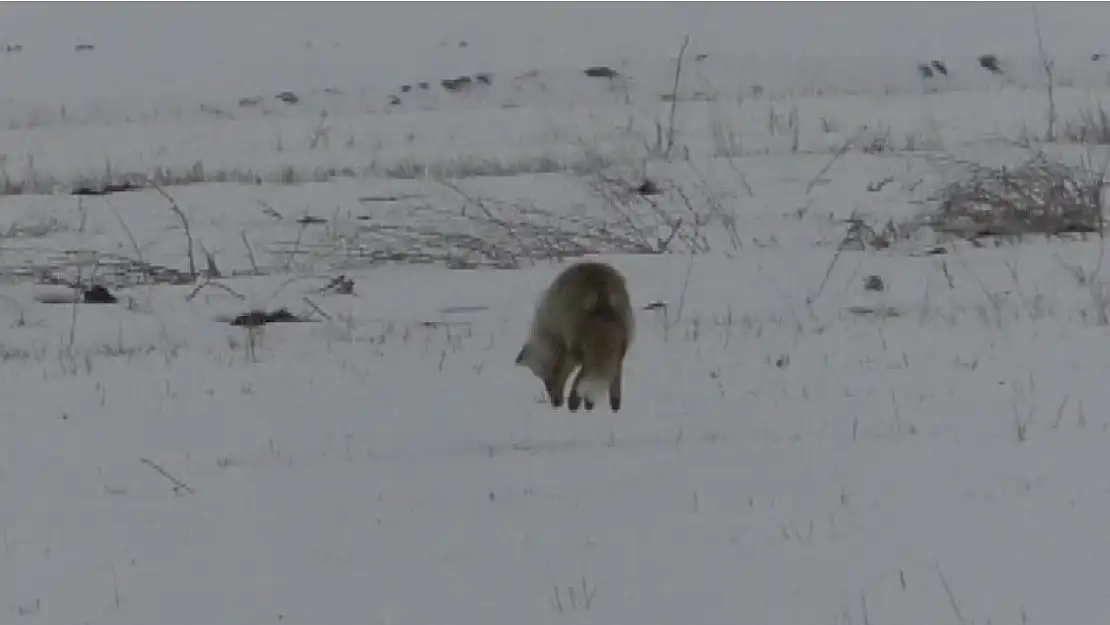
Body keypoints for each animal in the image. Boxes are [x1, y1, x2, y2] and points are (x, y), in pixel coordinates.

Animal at [512, 261, 634, 412]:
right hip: (619, 349)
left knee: (581, 377)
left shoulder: (566, 354)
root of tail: (599, 286)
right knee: (612, 382)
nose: (556, 403)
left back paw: (575, 405)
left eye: (545, 379)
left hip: (577, 350)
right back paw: (611, 408)